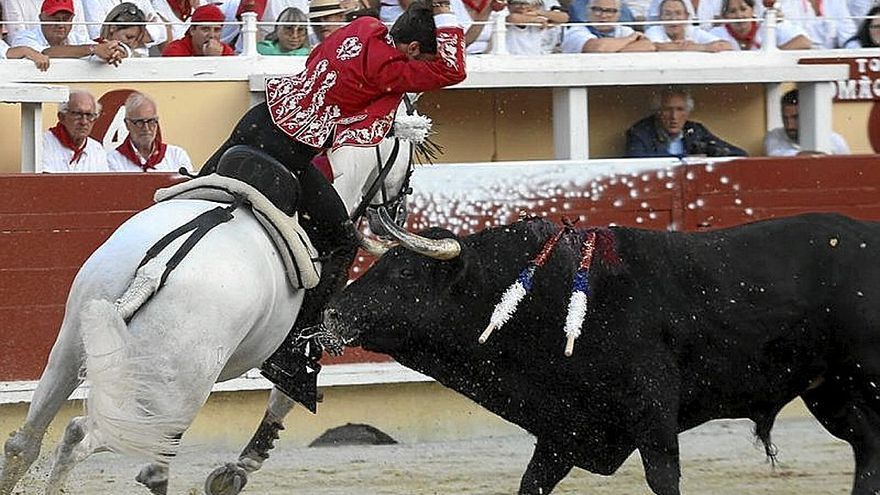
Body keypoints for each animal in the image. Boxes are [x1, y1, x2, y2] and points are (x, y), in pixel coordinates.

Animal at [0, 123, 418, 495]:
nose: (400, 208)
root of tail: (155, 269)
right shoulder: (307, 340)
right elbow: (286, 392)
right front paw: (237, 470)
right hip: (162, 393)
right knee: (80, 436)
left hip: (74, 349)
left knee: (26, 440)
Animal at [324, 214, 880, 495]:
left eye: (404, 273)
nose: (330, 315)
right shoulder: (564, 429)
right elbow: (532, 482)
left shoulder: (653, 417)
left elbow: (663, 479)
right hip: (830, 393)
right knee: (867, 449)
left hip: (864, 381)